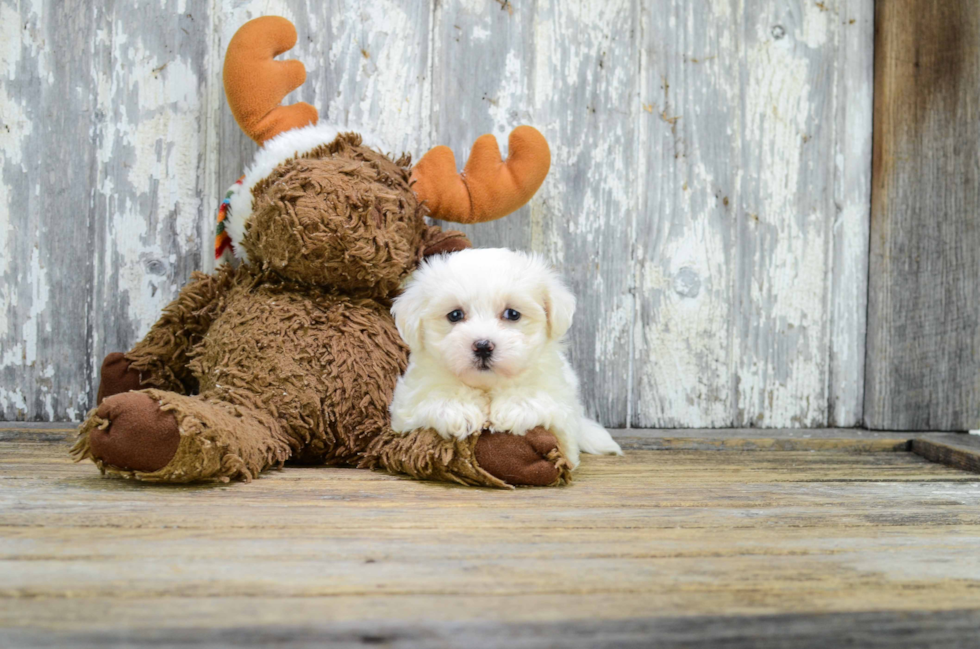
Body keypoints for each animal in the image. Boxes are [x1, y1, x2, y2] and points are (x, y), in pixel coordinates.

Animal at [388, 247, 620, 466]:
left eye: (512, 314)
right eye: (455, 315)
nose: (483, 346)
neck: (488, 385)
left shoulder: (561, 406)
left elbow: (538, 399)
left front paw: (516, 406)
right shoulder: (406, 404)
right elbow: (434, 396)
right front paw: (458, 407)